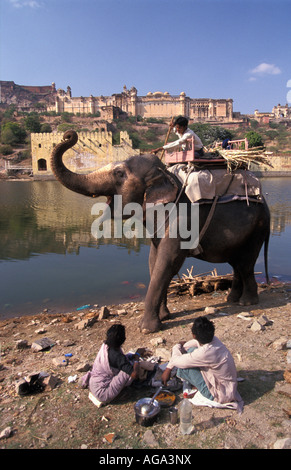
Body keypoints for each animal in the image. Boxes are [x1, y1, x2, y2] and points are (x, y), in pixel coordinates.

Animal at [50, 129, 272, 334]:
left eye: (119, 174)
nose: (68, 134)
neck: (165, 174)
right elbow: (154, 260)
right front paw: (165, 316)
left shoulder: (182, 221)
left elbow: (167, 262)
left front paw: (147, 329)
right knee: (236, 263)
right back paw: (232, 299)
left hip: (257, 228)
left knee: (245, 263)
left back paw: (246, 303)